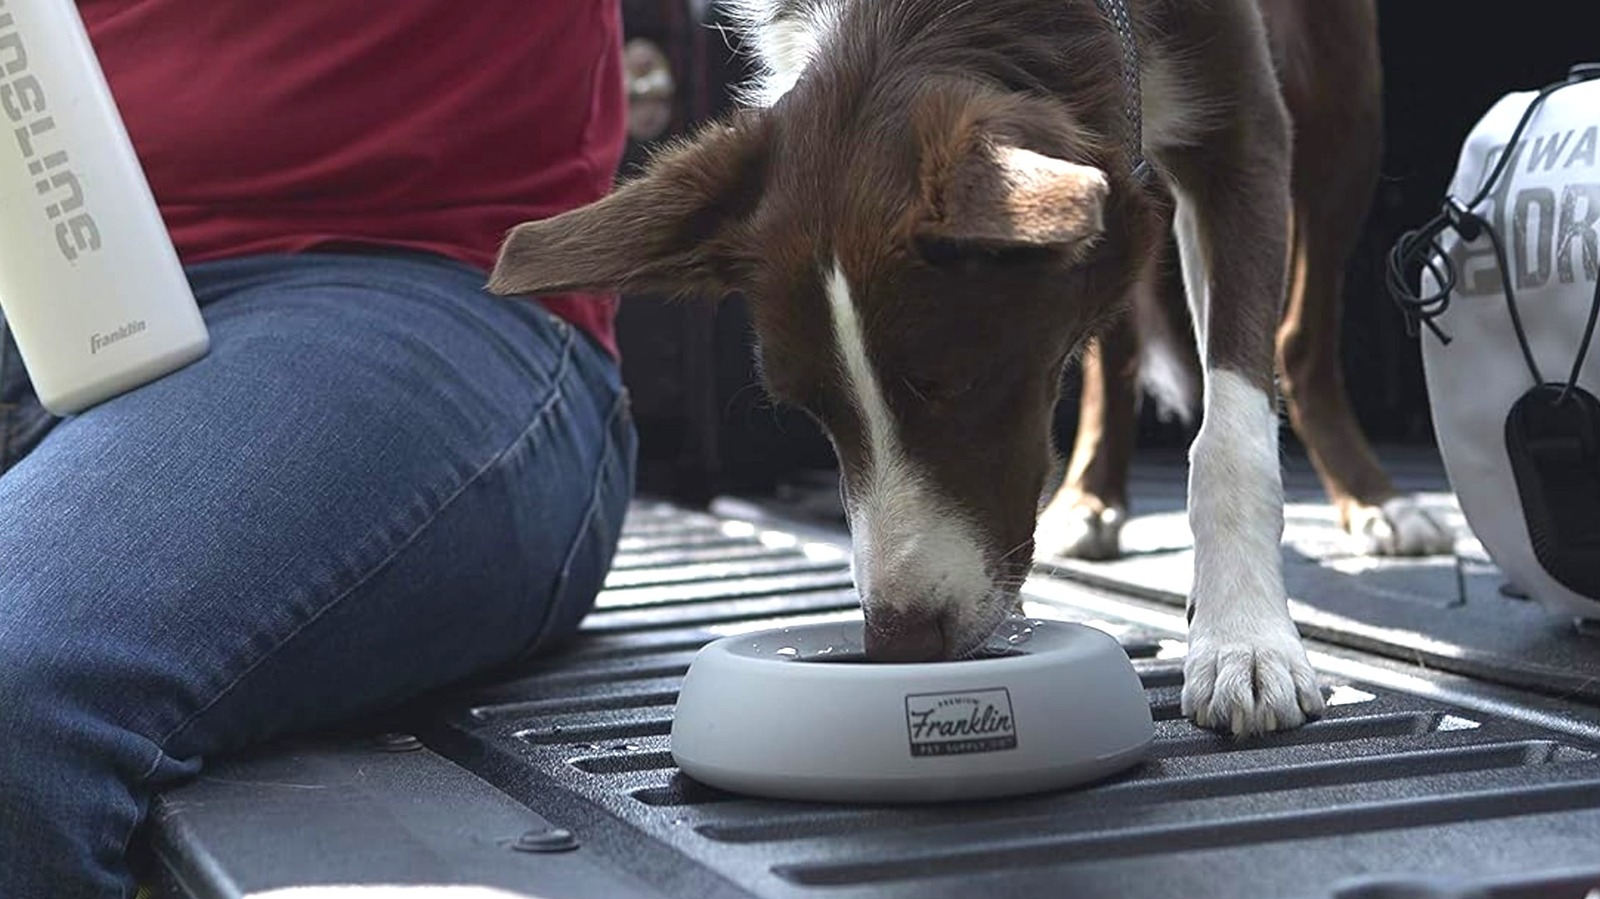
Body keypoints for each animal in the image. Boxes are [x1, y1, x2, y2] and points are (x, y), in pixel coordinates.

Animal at [487, 0, 1327, 736]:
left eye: (959, 382)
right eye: (811, 410)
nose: (899, 643)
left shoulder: (1244, 129)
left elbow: (1231, 436)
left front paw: (1246, 639)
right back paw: (1092, 495)